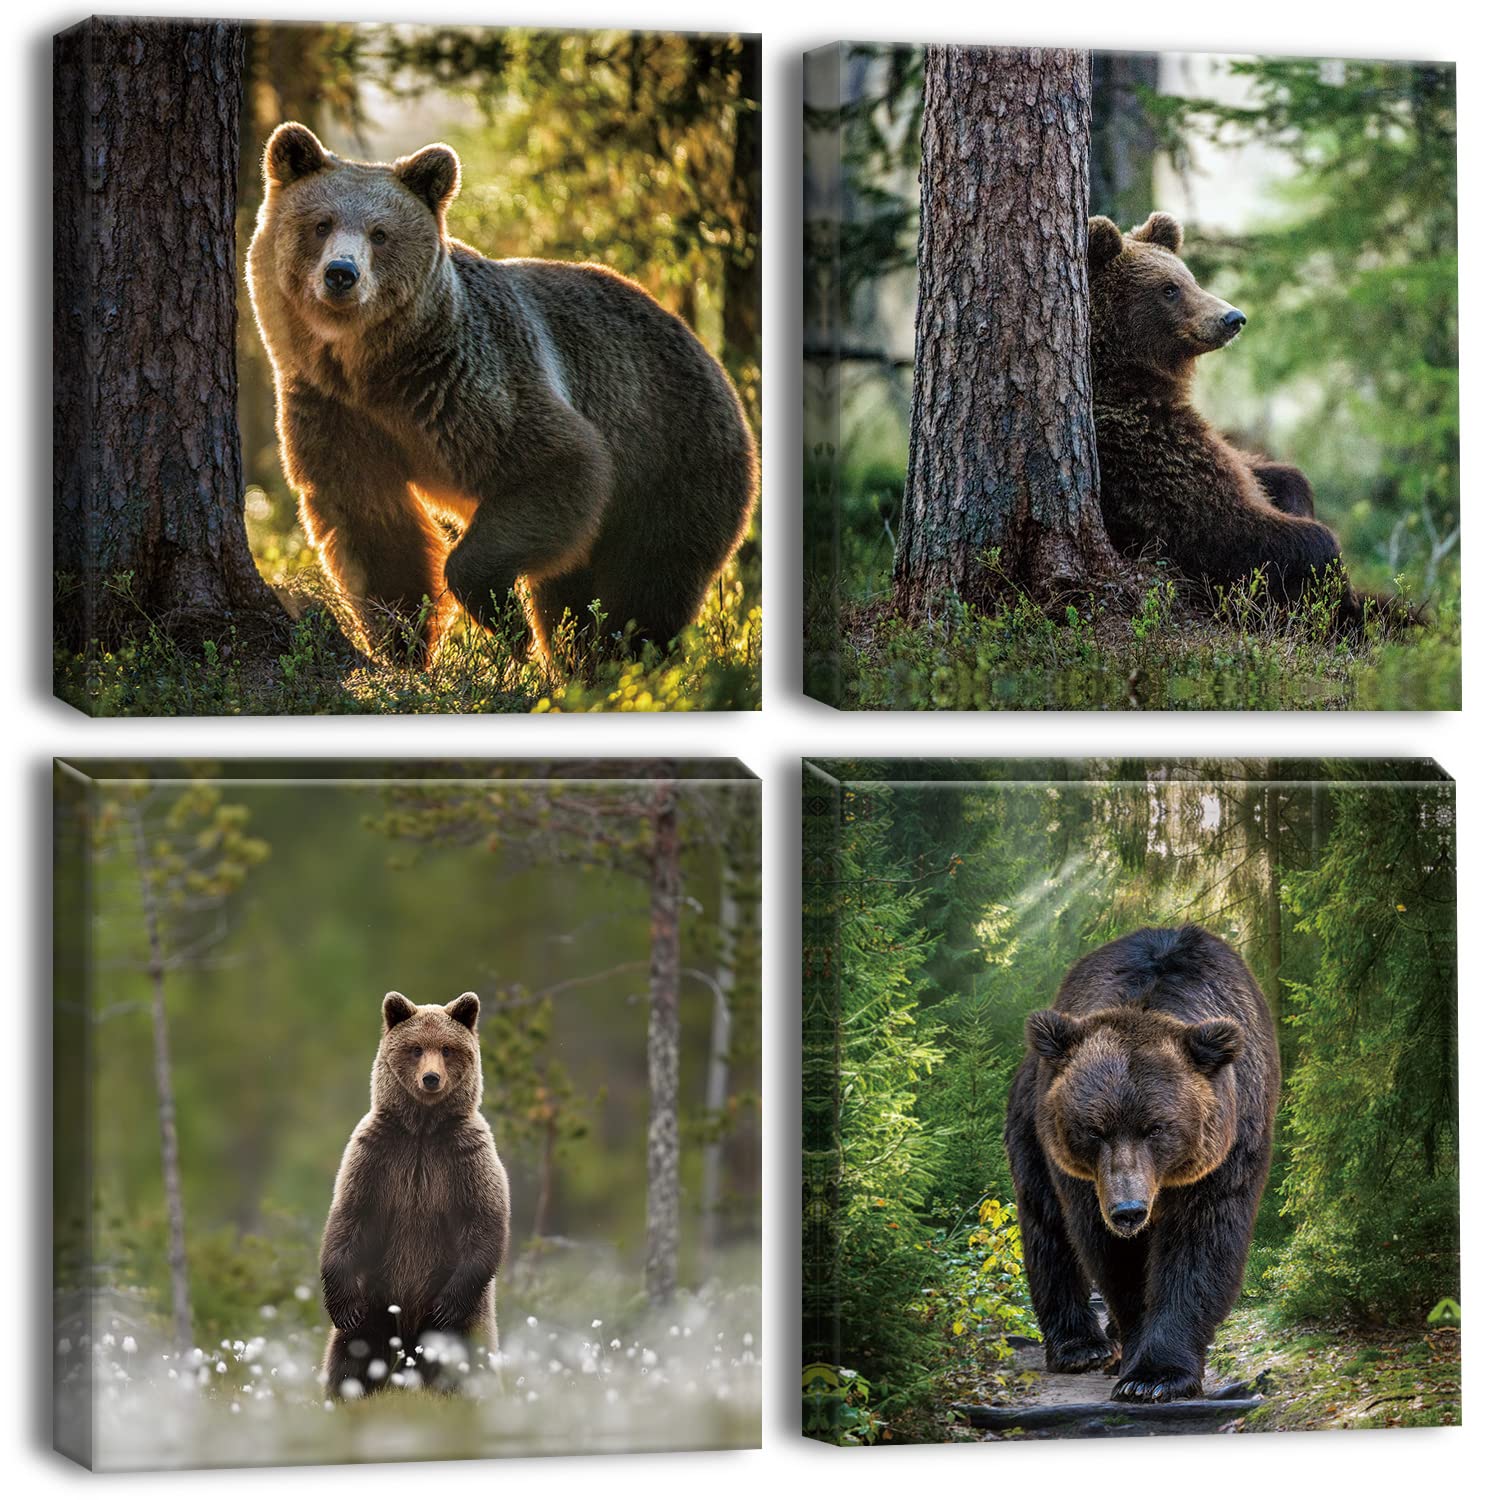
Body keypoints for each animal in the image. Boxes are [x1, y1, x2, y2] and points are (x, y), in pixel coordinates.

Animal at [247, 122, 758, 667]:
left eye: (380, 233)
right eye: (321, 223)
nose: (341, 273)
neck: (374, 368)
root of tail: (711, 359)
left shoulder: (468, 383)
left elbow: (558, 463)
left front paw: (507, 626)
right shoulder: (333, 409)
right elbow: (373, 527)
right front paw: (404, 644)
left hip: (670, 460)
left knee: (644, 587)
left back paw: (621, 661)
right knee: (573, 595)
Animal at [320, 991, 510, 1398]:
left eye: (448, 1049)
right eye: (416, 1048)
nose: (431, 1078)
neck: (422, 1130)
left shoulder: (465, 1157)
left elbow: (484, 1220)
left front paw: (446, 1305)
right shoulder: (376, 1155)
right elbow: (349, 1216)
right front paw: (341, 1305)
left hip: (469, 1323)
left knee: (468, 1362)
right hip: (376, 1302)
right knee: (349, 1358)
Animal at [1004, 925, 1278, 1404]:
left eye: (1156, 1127)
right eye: (1094, 1130)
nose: (1129, 1211)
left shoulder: (1227, 1150)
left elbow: (1200, 1244)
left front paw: (1157, 1375)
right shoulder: (1086, 1177)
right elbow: (1113, 1257)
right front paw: (1137, 1359)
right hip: (1031, 1128)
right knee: (1047, 1226)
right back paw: (1081, 1347)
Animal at [1087, 211, 1403, 630]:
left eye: (1191, 278)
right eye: (1169, 289)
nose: (1232, 317)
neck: (1132, 378)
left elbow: (1272, 473)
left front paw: (1295, 494)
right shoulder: (1148, 457)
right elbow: (1230, 528)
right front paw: (1339, 598)